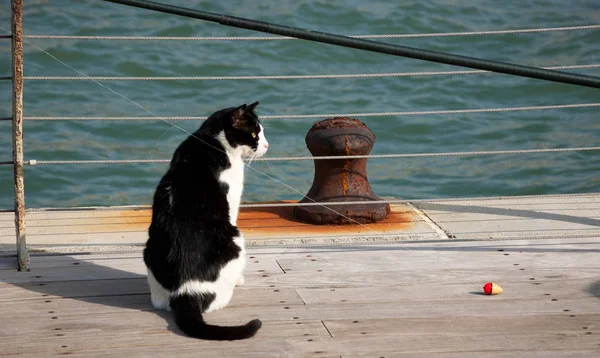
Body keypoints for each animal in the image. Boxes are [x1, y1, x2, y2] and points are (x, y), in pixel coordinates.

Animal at [143, 101, 268, 342]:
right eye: (254, 134)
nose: (267, 145)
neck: (211, 140)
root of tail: (186, 292)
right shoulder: (232, 200)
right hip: (236, 239)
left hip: (148, 250)